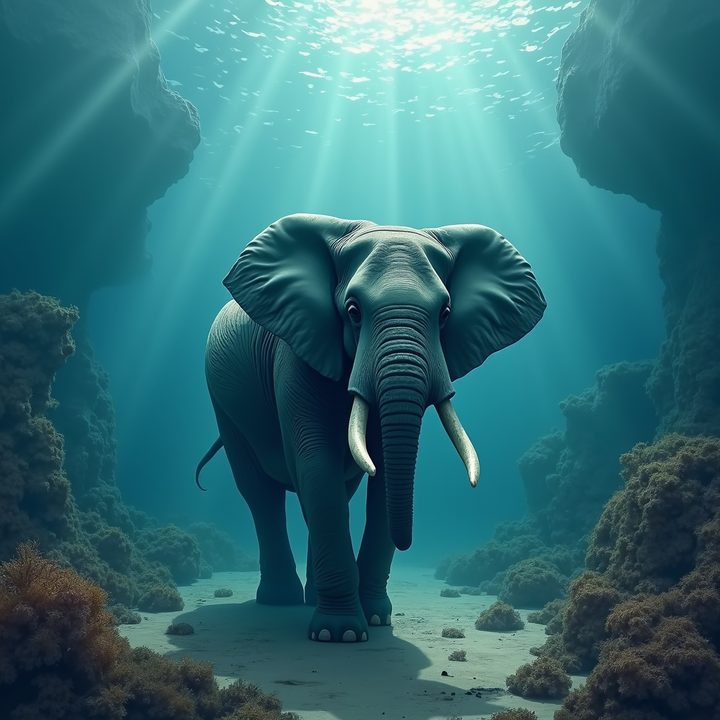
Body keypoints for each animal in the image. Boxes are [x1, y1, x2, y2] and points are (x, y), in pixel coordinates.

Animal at [196, 213, 546, 642]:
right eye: (353, 311)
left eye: (445, 313)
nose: (408, 543)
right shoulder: (295, 351)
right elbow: (317, 464)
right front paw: (341, 634)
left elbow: (377, 480)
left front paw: (376, 619)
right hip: (223, 404)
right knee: (260, 494)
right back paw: (281, 601)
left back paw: (312, 599)